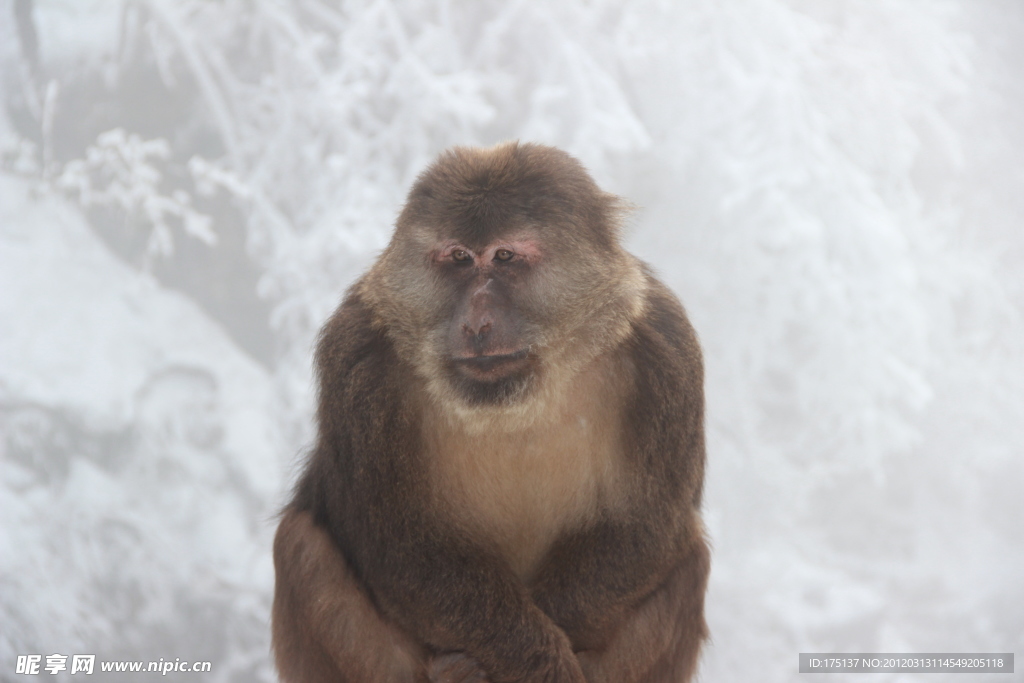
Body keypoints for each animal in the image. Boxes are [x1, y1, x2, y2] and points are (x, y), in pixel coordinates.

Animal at [272, 141, 712, 679]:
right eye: (459, 258)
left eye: (504, 257)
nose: (477, 324)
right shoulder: (354, 359)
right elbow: (401, 546)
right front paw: (531, 662)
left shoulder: (666, 351)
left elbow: (643, 527)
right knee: (300, 545)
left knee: (689, 561)